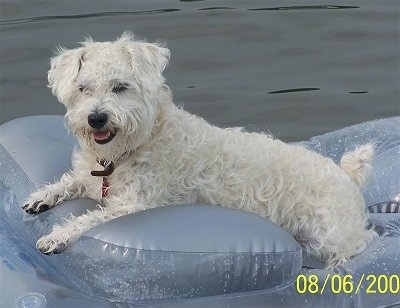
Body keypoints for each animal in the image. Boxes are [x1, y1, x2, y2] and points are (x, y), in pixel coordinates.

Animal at [23, 32, 376, 268]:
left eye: (120, 87)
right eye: (83, 88)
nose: (96, 118)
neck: (137, 143)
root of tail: (346, 174)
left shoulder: (135, 205)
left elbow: (90, 218)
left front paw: (55, 237)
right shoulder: (92, 177)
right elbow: (70, 181)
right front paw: (41, 198)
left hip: (329, 233)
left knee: (359, 245)